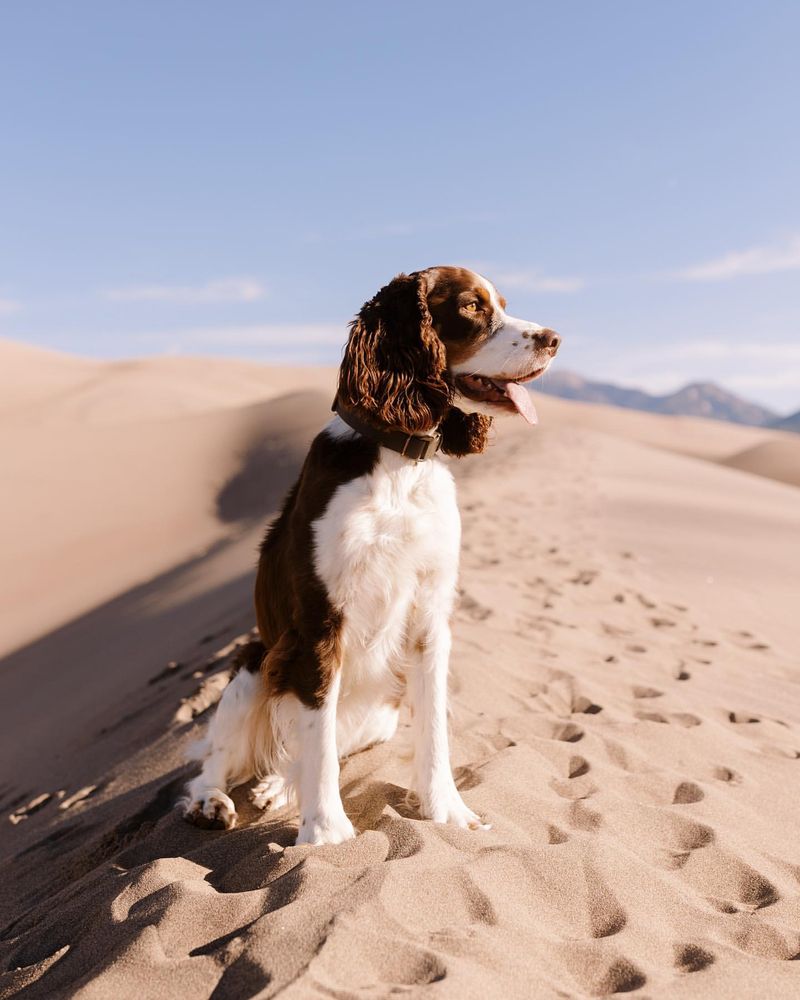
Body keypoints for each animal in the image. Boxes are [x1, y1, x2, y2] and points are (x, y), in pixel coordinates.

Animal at [180, 266, 560, 844]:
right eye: (472, 306)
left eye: (501, 302)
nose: (554, 339)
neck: (399, 461)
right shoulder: (320, 623)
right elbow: (316, 738)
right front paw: (324, 832)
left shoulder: (431, 618)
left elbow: (432, 728)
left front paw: (449, 813)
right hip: (254, 663)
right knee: (218, 760)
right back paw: (213, 802)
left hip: (375, 715)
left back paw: (276, 788)